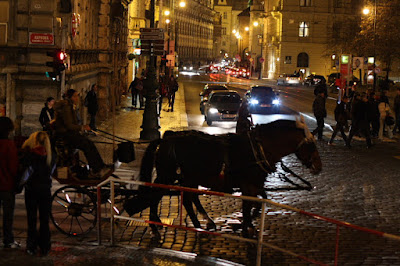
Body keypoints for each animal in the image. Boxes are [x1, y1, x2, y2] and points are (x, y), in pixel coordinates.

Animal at [125, 119, 322, 239]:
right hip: (169, 175)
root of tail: (167, 137)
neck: (257, 149)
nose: (319, 167)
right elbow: (250, 205)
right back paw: (156, 226)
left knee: (187, 199)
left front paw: (246, 224)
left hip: (188, 178)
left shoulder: (255, 185)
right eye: (311, 145)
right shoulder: (248, 185)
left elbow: (258, 202)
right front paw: (247, 227)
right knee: (156, 195)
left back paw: (200, 223)